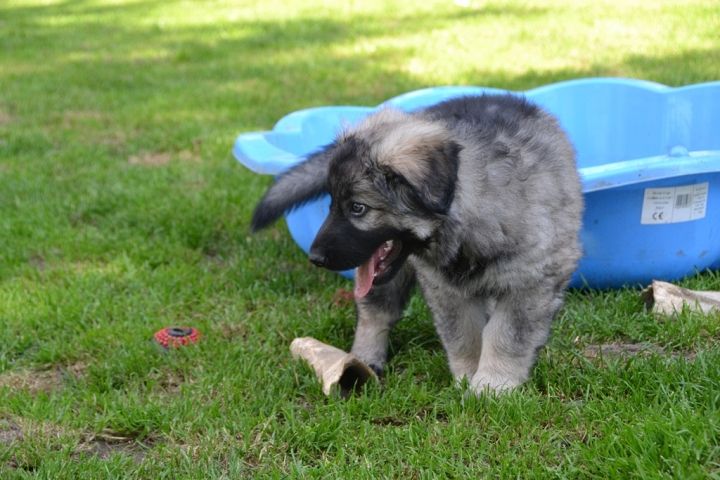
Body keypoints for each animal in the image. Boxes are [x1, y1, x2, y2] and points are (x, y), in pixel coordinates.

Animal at [251, 94, 583, 394]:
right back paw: (362, 361)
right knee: (375, 313)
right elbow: (463, 334)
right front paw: (467, 378)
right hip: (386, 279)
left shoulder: (528, 283)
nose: (315, 257)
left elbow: (506, 336)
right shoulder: (446, 291)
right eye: (331, 204)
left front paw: (493, 384)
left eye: (358, 208)